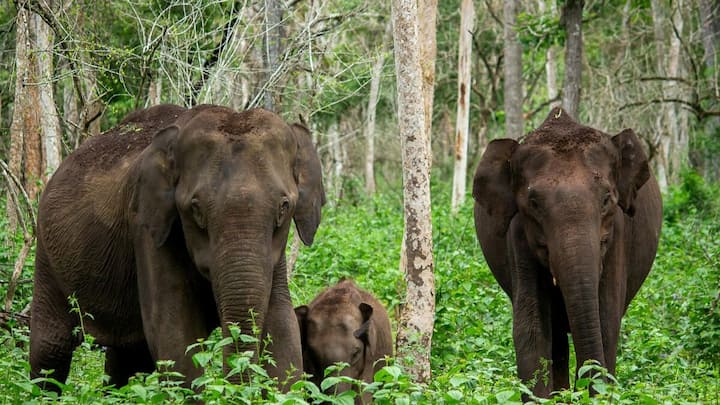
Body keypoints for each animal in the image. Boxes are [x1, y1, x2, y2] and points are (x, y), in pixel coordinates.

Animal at [30, 103, 325, 392]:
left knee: (127, 358)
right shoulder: (148, 226)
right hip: (46, 251)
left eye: (284, 207)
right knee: (51, 346)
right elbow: (173, 328)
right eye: (195, 209)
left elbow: (282, 325)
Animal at [472, 107, 662, 397]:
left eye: (606, 199)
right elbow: (530, 326)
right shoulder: (517, 233)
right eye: (534, 203)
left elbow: (606, 320)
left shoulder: (618, 235)